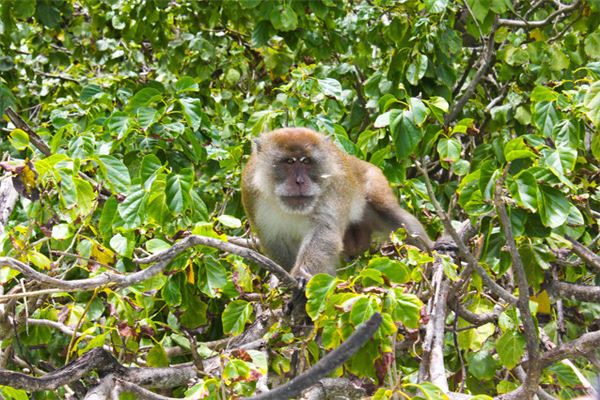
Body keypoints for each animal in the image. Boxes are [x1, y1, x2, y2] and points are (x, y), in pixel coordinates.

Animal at [241, 128, 434, 282]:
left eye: (306, 161)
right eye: (289, 162)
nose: (299, 181)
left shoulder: (334, 185)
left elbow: (325, 233)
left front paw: (301, 278)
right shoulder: (250, 192)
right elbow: (275, 242)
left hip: (374, 179)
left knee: (391, 214)